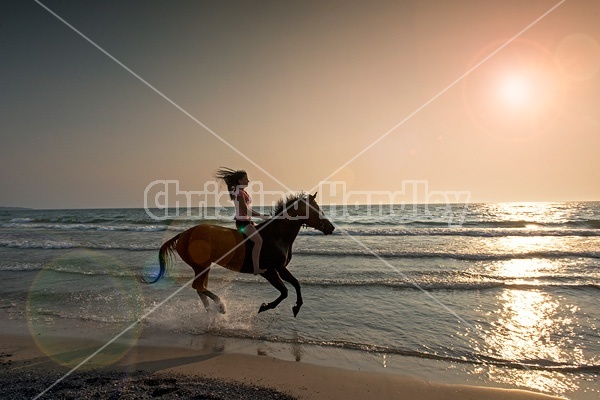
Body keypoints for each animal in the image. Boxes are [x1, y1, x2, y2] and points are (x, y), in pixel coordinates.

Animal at [144, 192, 336, 318]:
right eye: (314, 209)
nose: (331, 227)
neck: (276, 235)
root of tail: (184, 234)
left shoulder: (280, 268)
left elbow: (296, 284)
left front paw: (297, 307)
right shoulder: (269, 271)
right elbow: (284, 291)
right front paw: (265, 307)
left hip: (203, 266)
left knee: (199, 287)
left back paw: (211, 311)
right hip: (202, 265)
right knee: (198, 286)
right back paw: (220, 307)